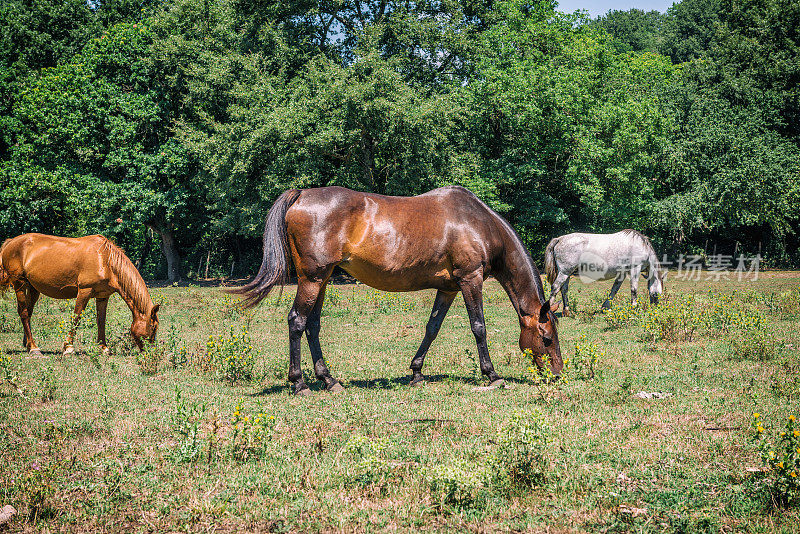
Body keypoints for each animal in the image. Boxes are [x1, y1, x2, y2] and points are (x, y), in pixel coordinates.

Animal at [0, 233, 159, 356]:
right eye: (153, 327)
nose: (150, 352)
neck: (105, 260)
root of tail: (10, 242)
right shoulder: (84, 291)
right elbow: (76, 318)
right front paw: (69, 348)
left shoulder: (102, 296)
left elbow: (101, 320)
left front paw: (103, 348)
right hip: (19, 284)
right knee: (24, 313)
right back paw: (34, 348)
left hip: (33, 288)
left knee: (28, 312)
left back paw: (28, 343)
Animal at [231, 186, 564, 396]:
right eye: (546, 338)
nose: (557, 374)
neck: (478, 223)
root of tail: (301, 195)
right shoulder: (470, 280)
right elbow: (478, 326)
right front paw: (492, 375)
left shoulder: (448, 288)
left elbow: (432, 328)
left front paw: (416, 373)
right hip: (312, 279)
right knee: (297, 322)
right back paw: (299, 383)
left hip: (321, 280)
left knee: (312, 326)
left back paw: (329, 380)